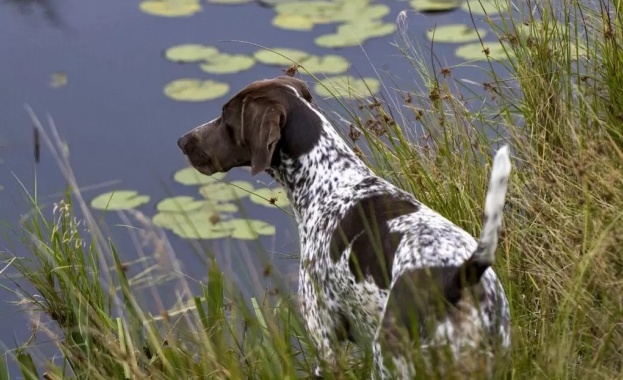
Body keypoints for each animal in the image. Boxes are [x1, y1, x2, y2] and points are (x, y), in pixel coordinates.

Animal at [177, 75, 512, 378]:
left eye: (226, 116)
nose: (183, 141)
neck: (329, 179)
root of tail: (460, 276)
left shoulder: (324, 340)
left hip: (387, 359)